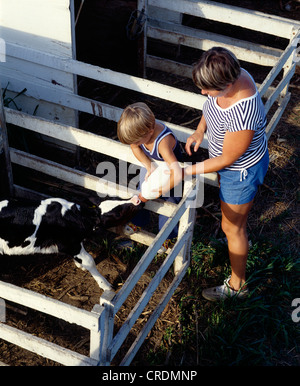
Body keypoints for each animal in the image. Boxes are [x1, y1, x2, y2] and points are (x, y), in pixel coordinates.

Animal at [0, 196, 143, 292]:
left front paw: (80, 265)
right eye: (118, 213)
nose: (136, 199)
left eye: (118, 198)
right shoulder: (69, 243)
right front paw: (106, 285)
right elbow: (89, 260)